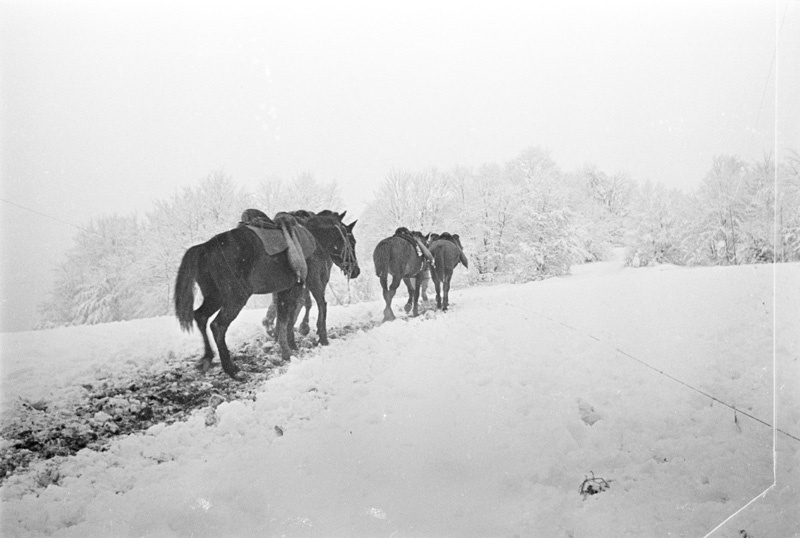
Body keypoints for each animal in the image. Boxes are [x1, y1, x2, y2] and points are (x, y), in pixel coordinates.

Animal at [175, 207, 316, 378]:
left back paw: (208, 357)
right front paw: (288, 349)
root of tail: (205, 247)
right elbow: (287, 318)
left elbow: (284, 316)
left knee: (200, 316)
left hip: (215, 296)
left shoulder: (283, 290)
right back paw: (230, 368)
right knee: (218, 325)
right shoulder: (292, 289)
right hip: (236, 297)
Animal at [262, 209, 360, 344]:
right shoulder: (317, 278)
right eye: (352, 242)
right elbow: (318, 303)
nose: (356, 270)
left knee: (281, 302)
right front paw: (317, 332)